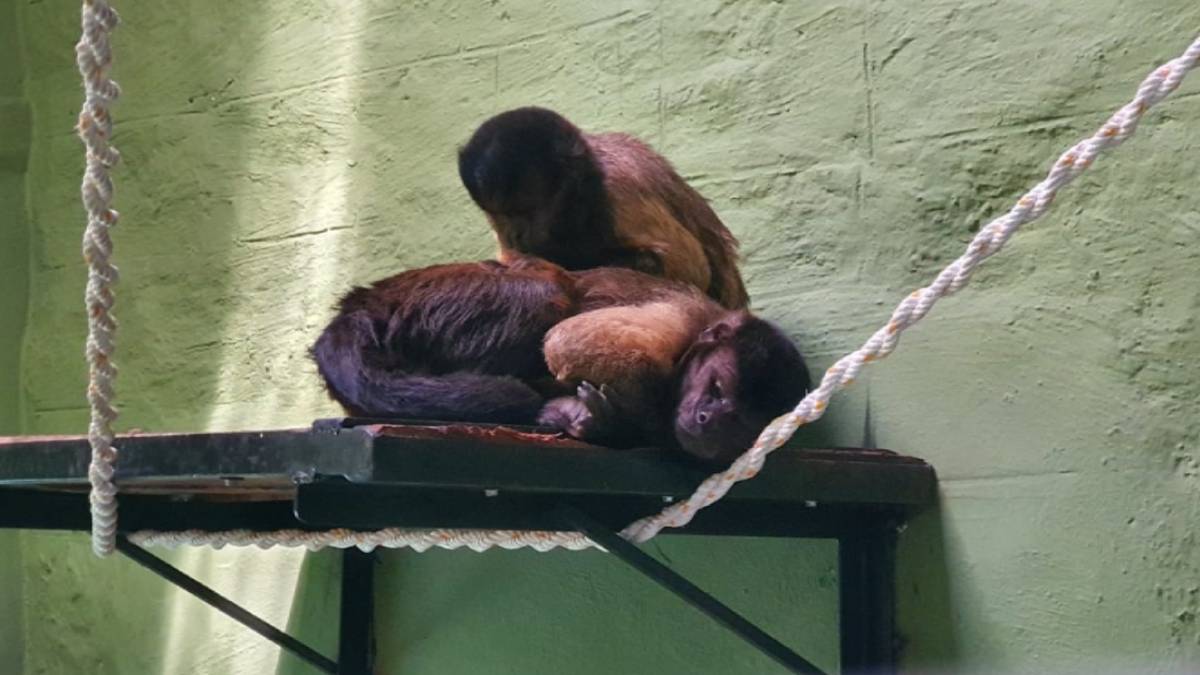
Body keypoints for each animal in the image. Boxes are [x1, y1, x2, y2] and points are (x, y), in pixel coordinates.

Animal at [311, 258, 809, 464]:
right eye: (716, 388)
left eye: (738, 424)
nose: (708, 419)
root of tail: (365, 303)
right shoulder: (680, 318)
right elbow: (570, 343)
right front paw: (623, 423)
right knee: (546, 292)